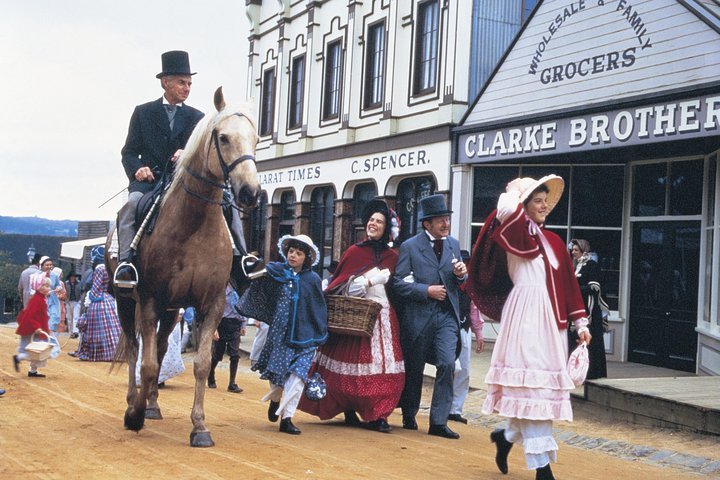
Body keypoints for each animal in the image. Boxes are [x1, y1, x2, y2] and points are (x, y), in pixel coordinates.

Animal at [108, 87, 260, 446]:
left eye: (256, 139)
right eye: (223, 137)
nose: (250, 192)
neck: (193, 225)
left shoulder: (211, 304)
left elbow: (201, 364)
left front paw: (199, 427)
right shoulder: (149, 299)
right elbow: (147, 364)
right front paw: (134, 415)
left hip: (172, 309)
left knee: (162, 347)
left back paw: (152, 404)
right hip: (126, 301)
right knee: (135, 350)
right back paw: (134, 402)